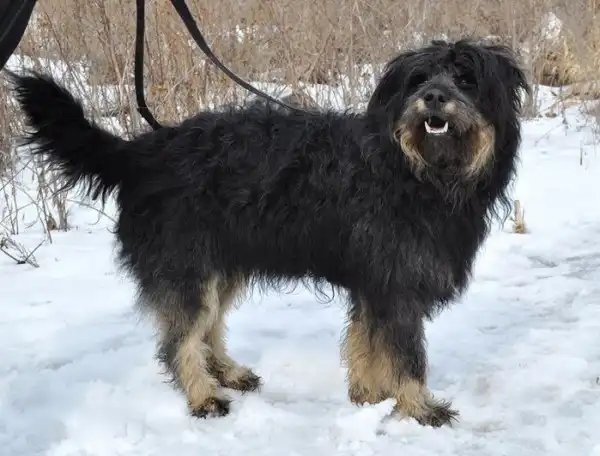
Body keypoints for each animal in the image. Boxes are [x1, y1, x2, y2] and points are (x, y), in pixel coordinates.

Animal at [8, 38, 529, 428]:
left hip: (221, 264)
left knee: (208, 327)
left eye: (466, 78)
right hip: (187, 266)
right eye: (418, 79)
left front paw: (368, 395)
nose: (434, 97)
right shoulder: (394, 285)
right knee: (179, 340)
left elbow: (366, 342)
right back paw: (203, 397)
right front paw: (419, 405)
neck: (416, 172)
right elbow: (406, 354)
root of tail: (140, 153)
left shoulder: (375, 283)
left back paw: (226, 372)